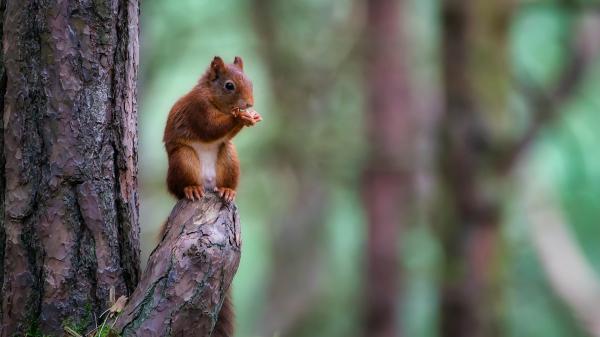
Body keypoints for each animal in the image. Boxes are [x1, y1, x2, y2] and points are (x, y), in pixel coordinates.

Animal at [163, 55, 262, 336]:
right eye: (229, 86)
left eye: (251, 81)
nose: (249, 104)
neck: (211, 97)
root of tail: (208, 185)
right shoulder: (197, 110)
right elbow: (209, 128)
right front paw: (240, 117)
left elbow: (219, 133)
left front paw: (250, 116)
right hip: (183, 160)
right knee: (183, 184)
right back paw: (191, 189)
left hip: (228, 156)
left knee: (226, 168)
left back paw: (227, 191)